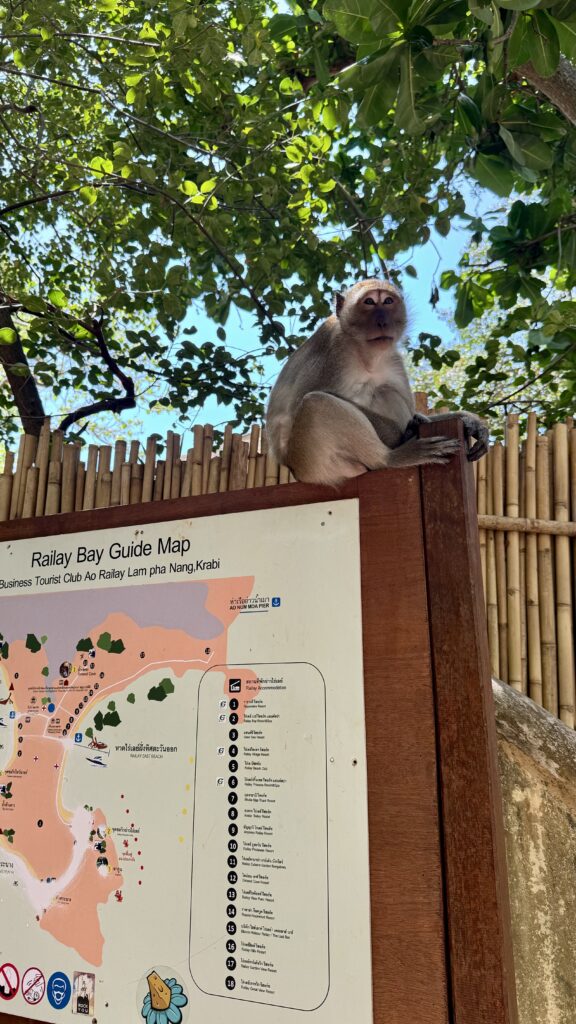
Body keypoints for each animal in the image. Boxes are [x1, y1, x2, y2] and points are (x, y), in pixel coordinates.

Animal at [264, 280, 483, 487]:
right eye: (369, 302)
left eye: (388, 301)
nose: (383, 321)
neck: (366, 354)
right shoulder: (332, 355)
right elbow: (298, 406)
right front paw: (405, 431)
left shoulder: (393, 359)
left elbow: (411, 409)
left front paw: (468, 420)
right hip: (311, 462)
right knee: (315, 403)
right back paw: (390, 458)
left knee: (385, 390)